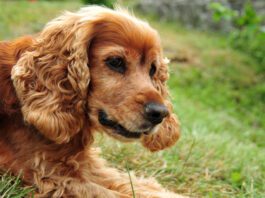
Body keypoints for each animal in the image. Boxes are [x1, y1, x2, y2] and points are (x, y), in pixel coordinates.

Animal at [0, 5, 182, 197]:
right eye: (115, 62)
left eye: (153, 69)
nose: (160, 113)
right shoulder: (51, 178)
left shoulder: (85, 165)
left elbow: (136, 185)